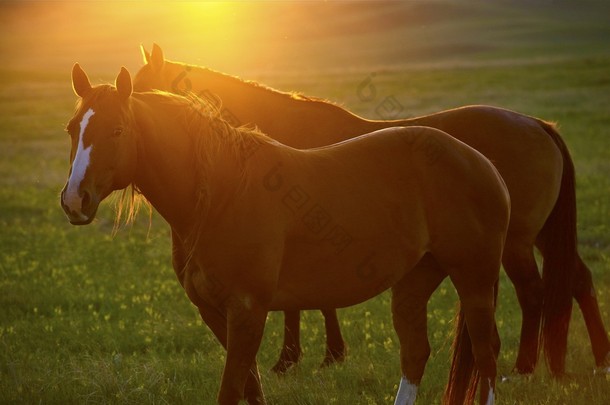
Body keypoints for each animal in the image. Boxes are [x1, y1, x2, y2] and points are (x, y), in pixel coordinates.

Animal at [61, 63, 508, 400]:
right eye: (71, 129)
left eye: (117, 130)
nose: (74, 200)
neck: (222, 193)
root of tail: (479, 160)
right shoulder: (215, 314)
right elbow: (251, 389)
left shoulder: (247, 312)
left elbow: (231, 390)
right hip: (416, 280)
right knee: (415, 354)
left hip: (475, 278)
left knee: (487, 356)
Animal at [132, 42, 608, 378]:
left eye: (144, 91)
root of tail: (537, 124)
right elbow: (311, 301)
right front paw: (322, 354)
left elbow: (301, 305)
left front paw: (298, 358)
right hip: (540, 236)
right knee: (578, 279)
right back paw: (598, 357)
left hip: (515, 242)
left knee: (534, 293)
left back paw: (525, 366)